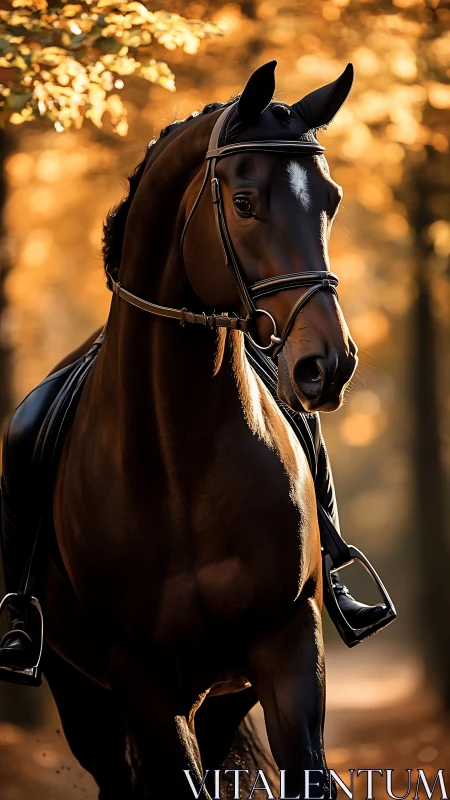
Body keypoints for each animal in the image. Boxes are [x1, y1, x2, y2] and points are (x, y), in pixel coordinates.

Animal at [39, 60, 358, 798]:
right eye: (243, 201)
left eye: (329, 200)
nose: (328, 365)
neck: (179, 457)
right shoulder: (143, 680)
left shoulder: (288, 648)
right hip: (80, 693)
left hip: (222, 697)